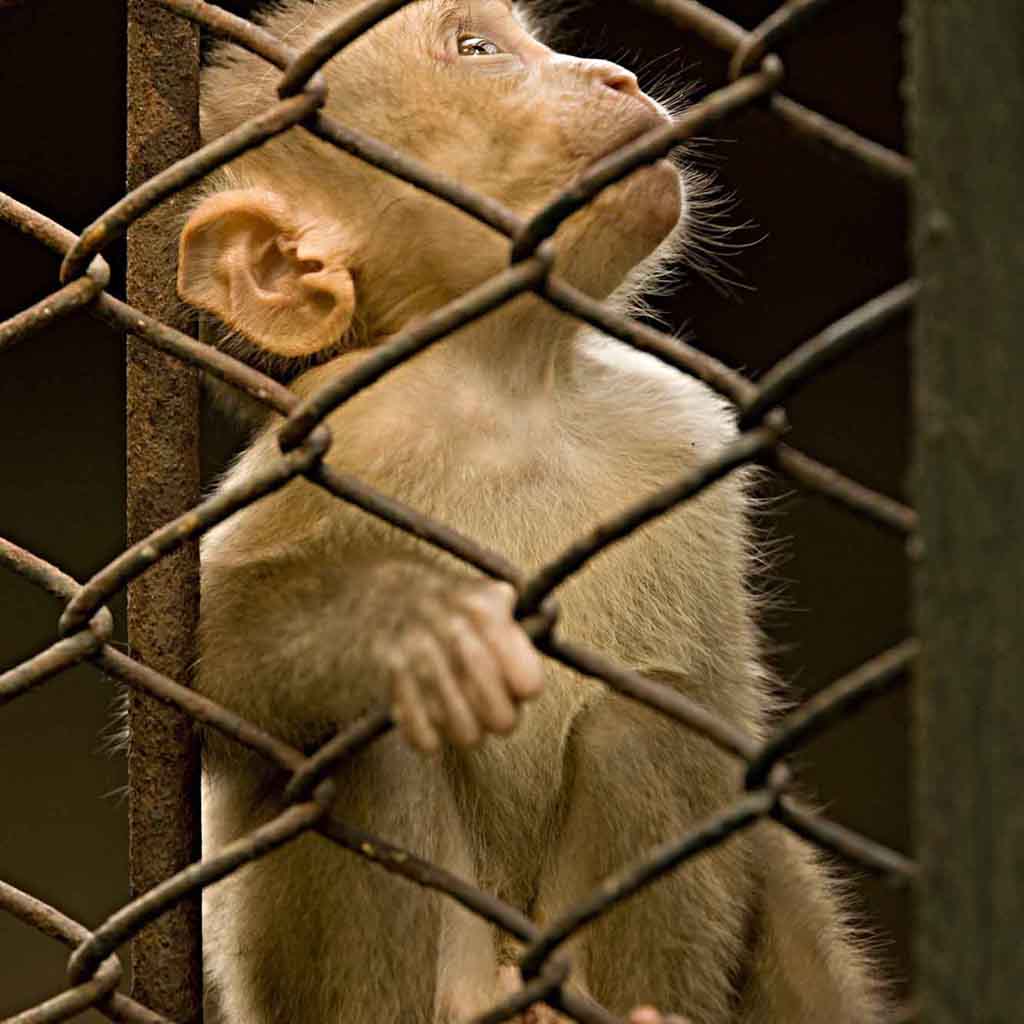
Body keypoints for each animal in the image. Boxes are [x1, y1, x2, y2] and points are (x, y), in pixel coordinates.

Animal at [180, 2, 884, 1024]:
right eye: (477, 52)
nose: (614, 76)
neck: (511, 386)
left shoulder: (680, 431)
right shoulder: (333, 441)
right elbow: (189, 662)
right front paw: (402, 622)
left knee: (648, 724)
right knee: (365, 740)